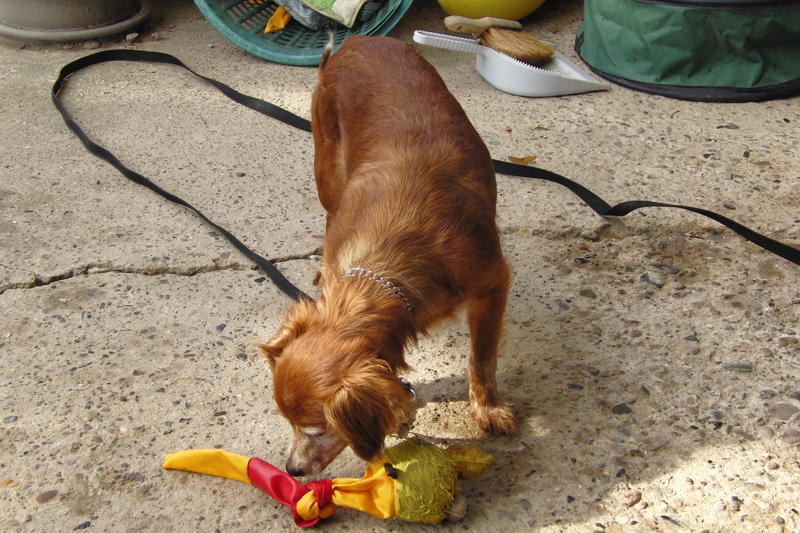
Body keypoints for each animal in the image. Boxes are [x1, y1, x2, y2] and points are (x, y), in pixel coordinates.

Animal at [260, 35, 516, 476]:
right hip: (327, 168)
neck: (384, 266)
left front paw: (488, 409)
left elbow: (481, 358)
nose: (292, 470)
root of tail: (358, 40)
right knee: (328, 209)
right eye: (286, 422)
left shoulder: (492, 284)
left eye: (315, 429)